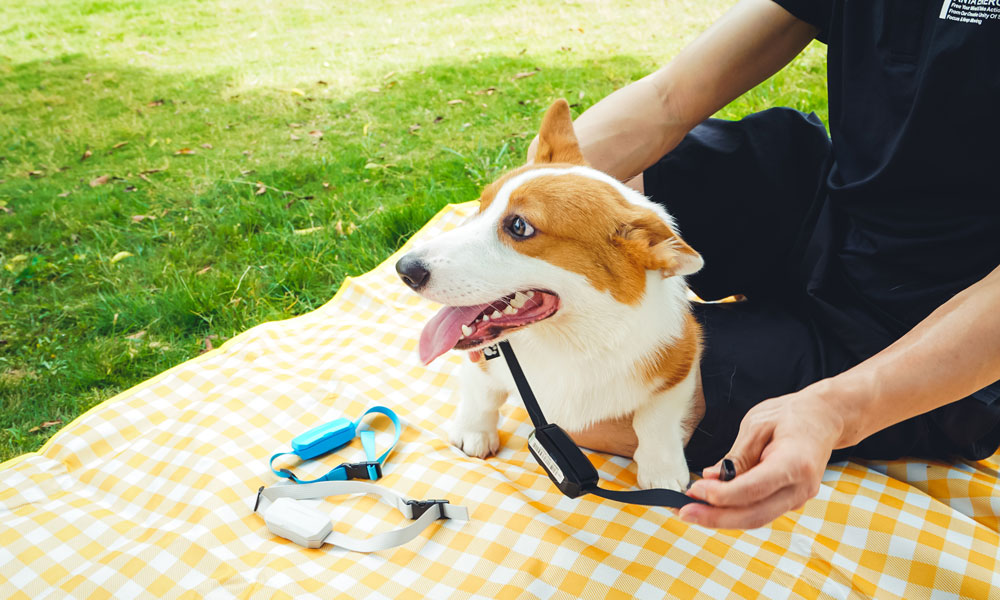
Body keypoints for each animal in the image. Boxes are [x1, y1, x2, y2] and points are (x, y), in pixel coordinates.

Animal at [396, 99, 704, 492]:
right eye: (480, 205)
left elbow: (656, 418)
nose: (404, 269)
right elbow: (482, 392)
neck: (568, 342)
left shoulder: (683, 356)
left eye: (519, 226)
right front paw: (473, 432)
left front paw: (661, 471)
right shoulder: (487, 358)